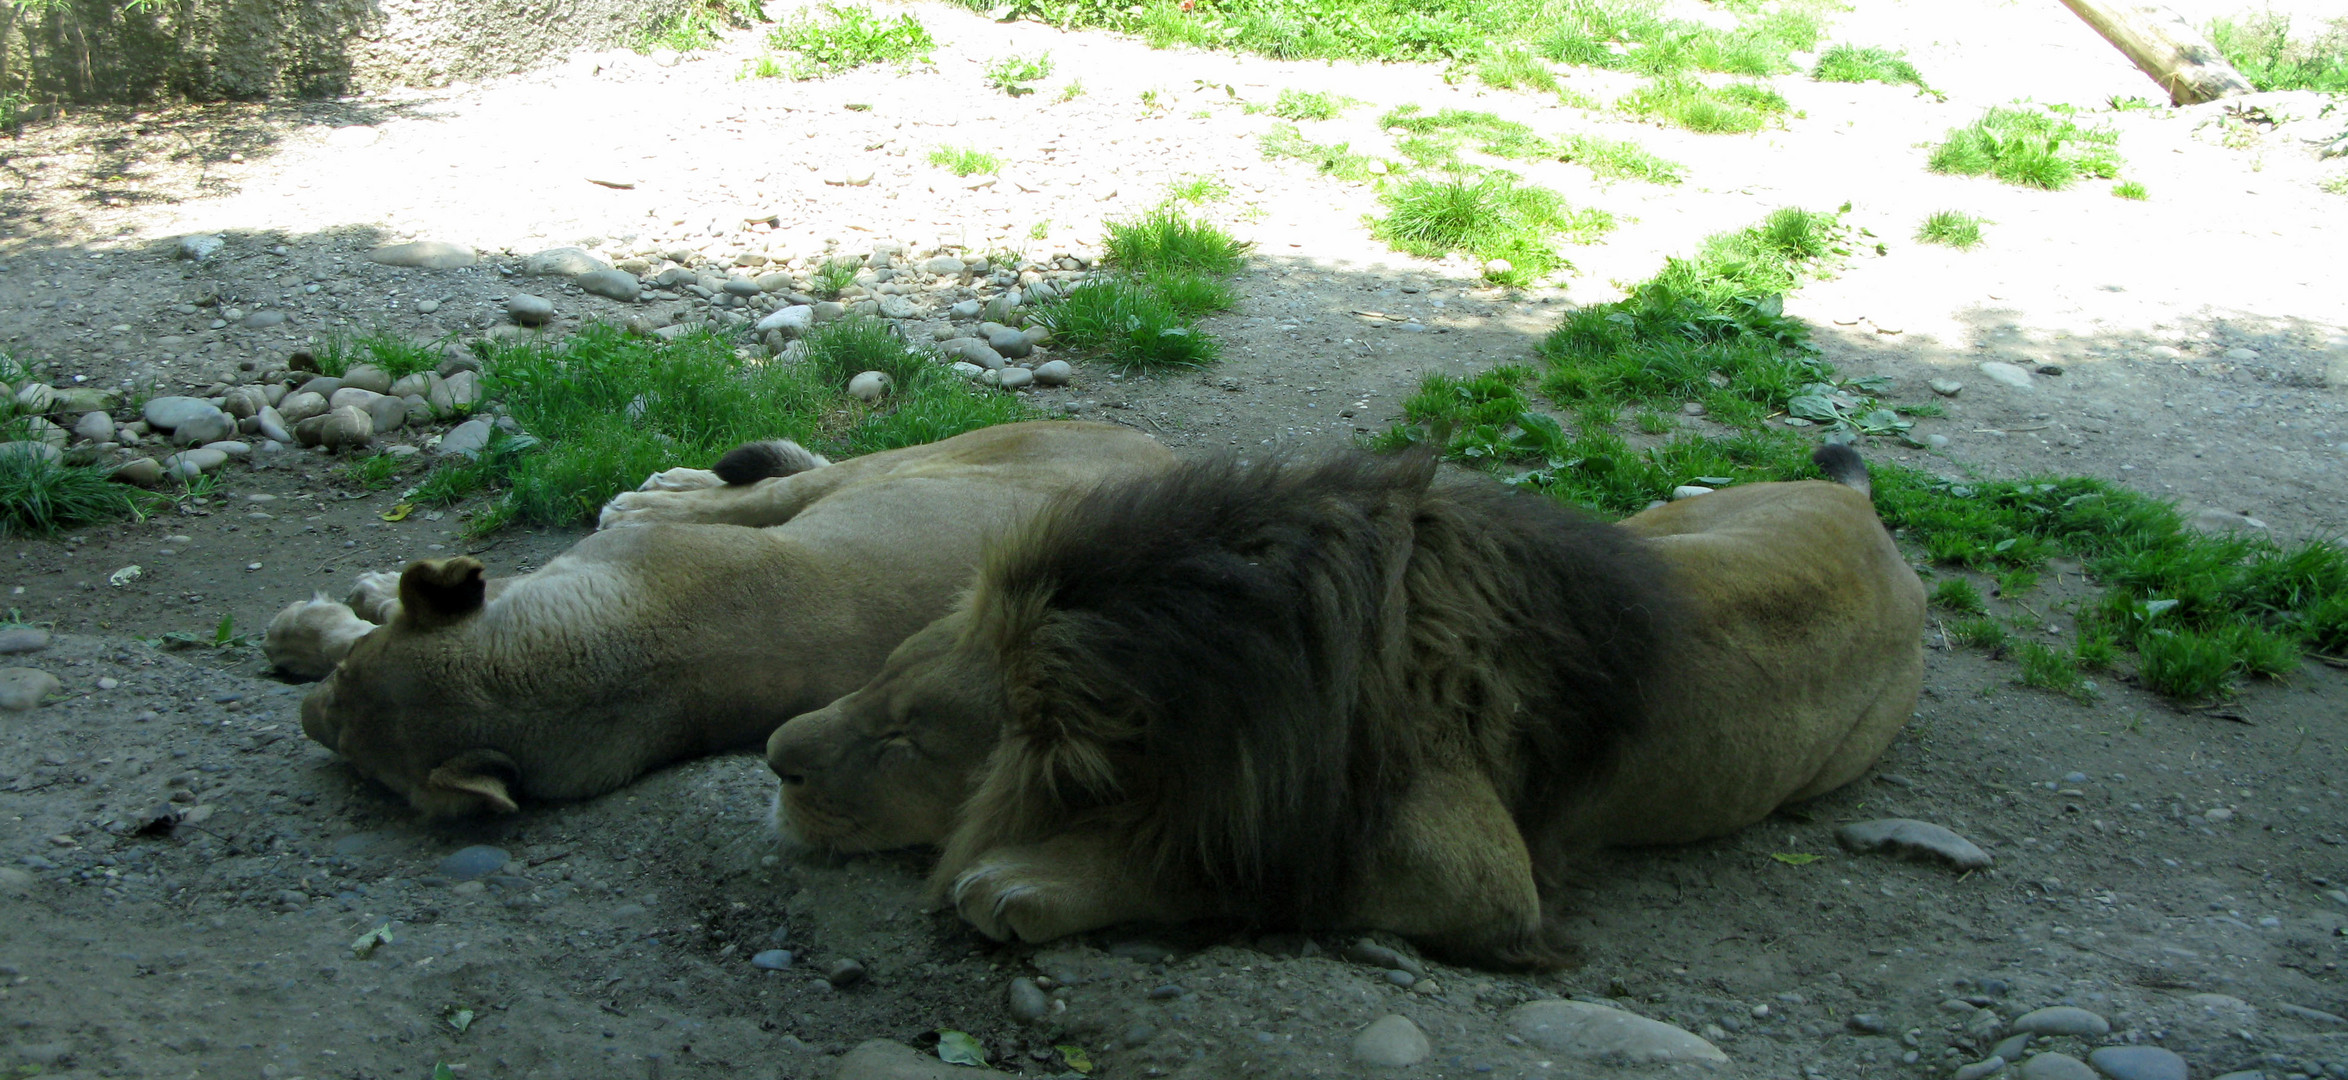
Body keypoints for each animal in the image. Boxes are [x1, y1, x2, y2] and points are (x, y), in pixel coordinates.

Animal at [288, 422, 1169, 817]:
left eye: (353, 756)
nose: (304, 717)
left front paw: (319, 618)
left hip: (918, 463)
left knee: (762, 491)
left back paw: (648, 492)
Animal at [770, 443, 1925, 967]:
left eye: (909, 737)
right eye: (877, 673)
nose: (774, 757)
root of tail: (1867, 519)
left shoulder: (1475, 877)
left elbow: (1218, 862)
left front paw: (1027, 880)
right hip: (1665, 521)